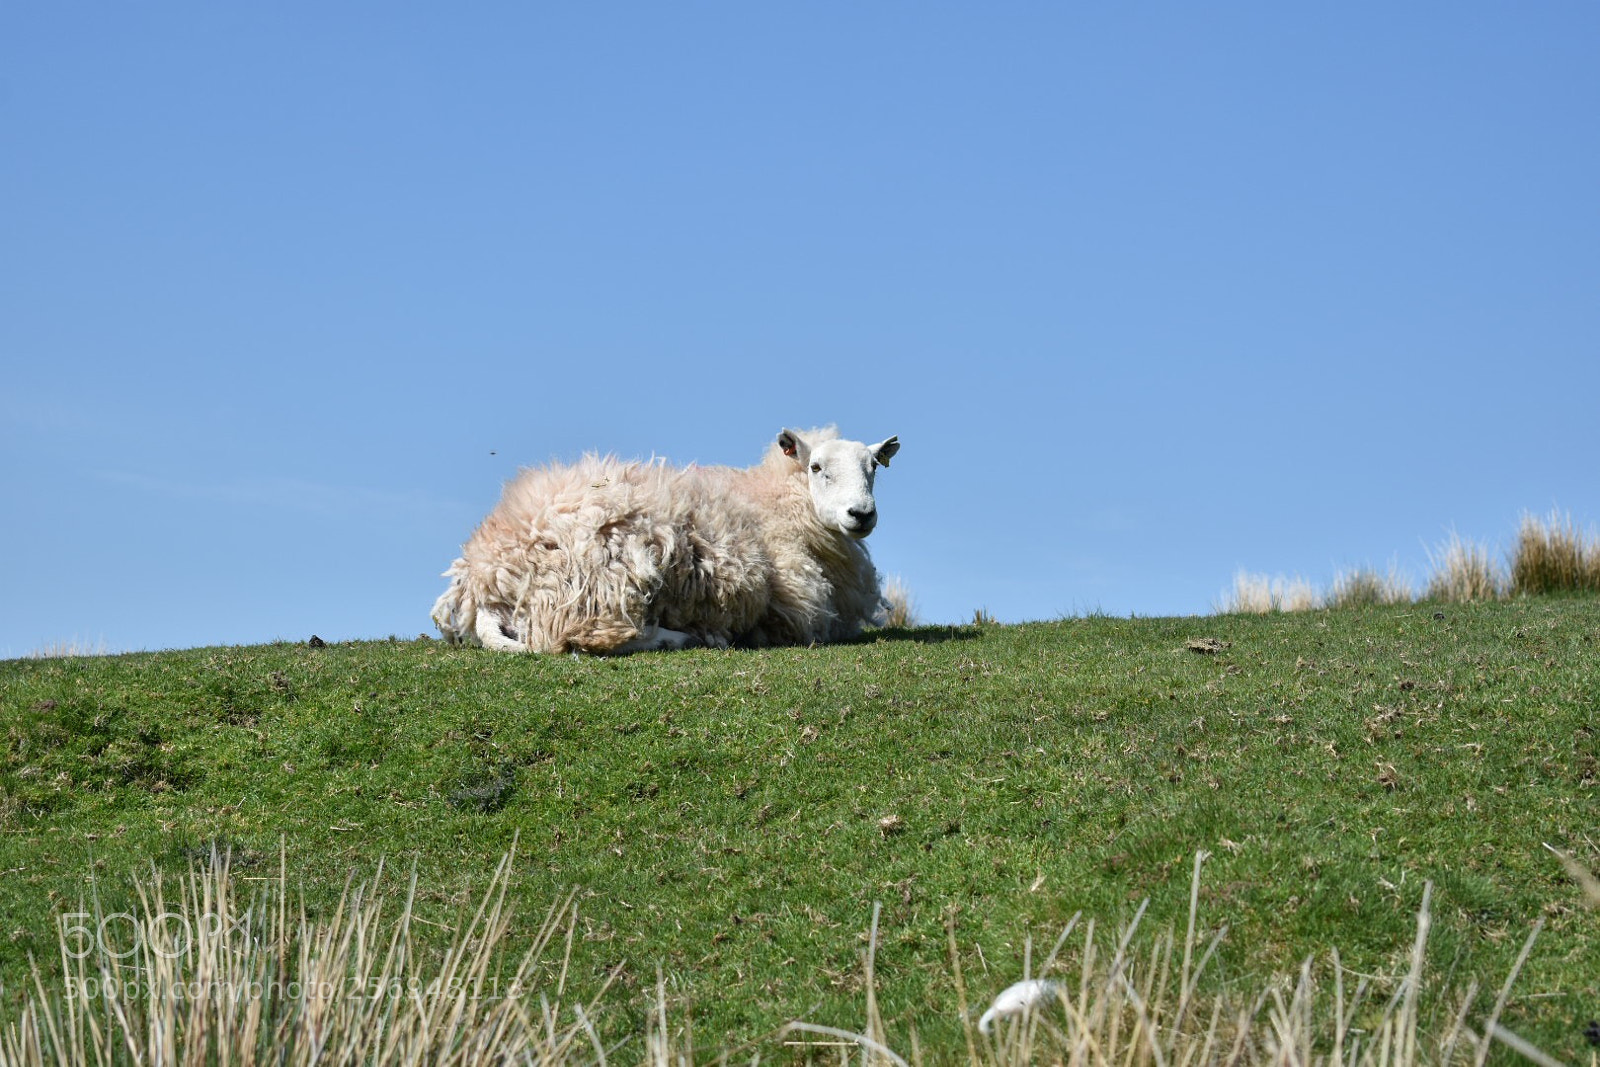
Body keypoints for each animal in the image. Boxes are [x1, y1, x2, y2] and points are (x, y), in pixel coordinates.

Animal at [432, 427, 901, 654]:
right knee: (589, 639)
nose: (861, 514)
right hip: (605, 579)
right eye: (816, 467)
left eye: (874, 467)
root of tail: (486, 578)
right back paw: (683, 638)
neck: (774, 498)